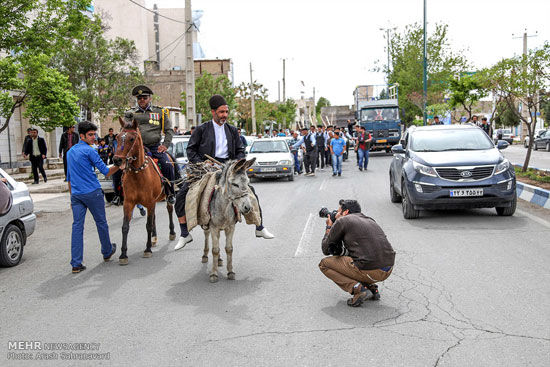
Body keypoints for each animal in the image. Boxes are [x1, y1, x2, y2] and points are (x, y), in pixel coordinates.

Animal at [111, 118, 174, 264]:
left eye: (131, 138)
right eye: (117, 137)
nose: (117, 160)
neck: (138, 173)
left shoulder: (150, 202)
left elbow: (148, 225)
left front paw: (147, 249)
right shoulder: (128, 203)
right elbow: (125, 227)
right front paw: (123, 254)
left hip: (165, 197)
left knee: (169, 209)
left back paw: (171, 233)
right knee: (154, 216)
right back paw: (154, 238)